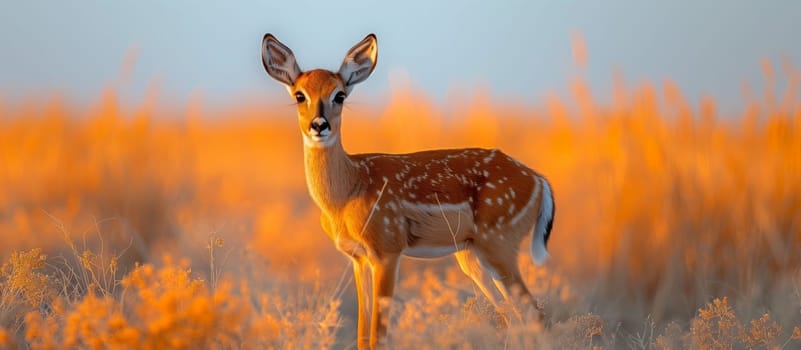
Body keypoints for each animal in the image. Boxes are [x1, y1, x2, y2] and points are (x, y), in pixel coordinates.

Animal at [260, 33, 552, 350]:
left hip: (499, 241)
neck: (347, 191)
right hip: (472, 252)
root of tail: (539, 181)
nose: (319, 125)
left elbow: (378, 336)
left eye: (340, 95)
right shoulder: (357, 258)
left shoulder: (388, 249)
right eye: (299, 95)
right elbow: (362, 334)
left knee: (535, 314)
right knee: (514, 315)